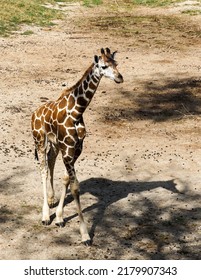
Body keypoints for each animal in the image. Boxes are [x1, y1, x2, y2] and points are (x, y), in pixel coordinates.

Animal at [31, 47, 123, 244]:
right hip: (39, 140)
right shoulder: (68, 150)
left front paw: (59, 217)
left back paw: (51, 200)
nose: (120, 78)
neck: (77, 111)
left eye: (116, 64)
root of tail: (34, 114)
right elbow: (75, 187)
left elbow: (66, 179)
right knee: (43, 170)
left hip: (54, 145)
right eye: (103, 66)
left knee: (50, 163)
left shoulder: (76, 148)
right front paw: (85, 234)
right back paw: (45, 216)